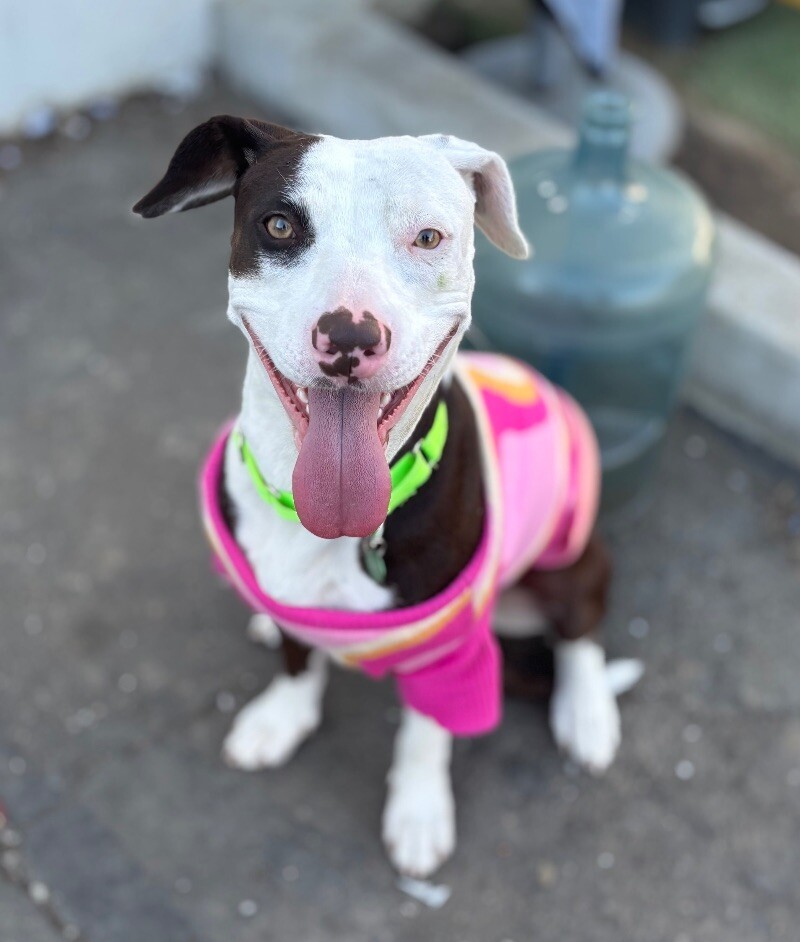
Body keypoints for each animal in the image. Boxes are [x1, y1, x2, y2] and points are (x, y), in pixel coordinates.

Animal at [134, 116, 640, 876]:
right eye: (279, 225)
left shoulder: (447, 654)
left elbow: (425, 732)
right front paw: (282, 714)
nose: (349, 334)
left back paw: (586, 713)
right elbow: (295, 661)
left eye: (428, 237)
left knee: (581, 630)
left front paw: (419, 811)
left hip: (569, 553)